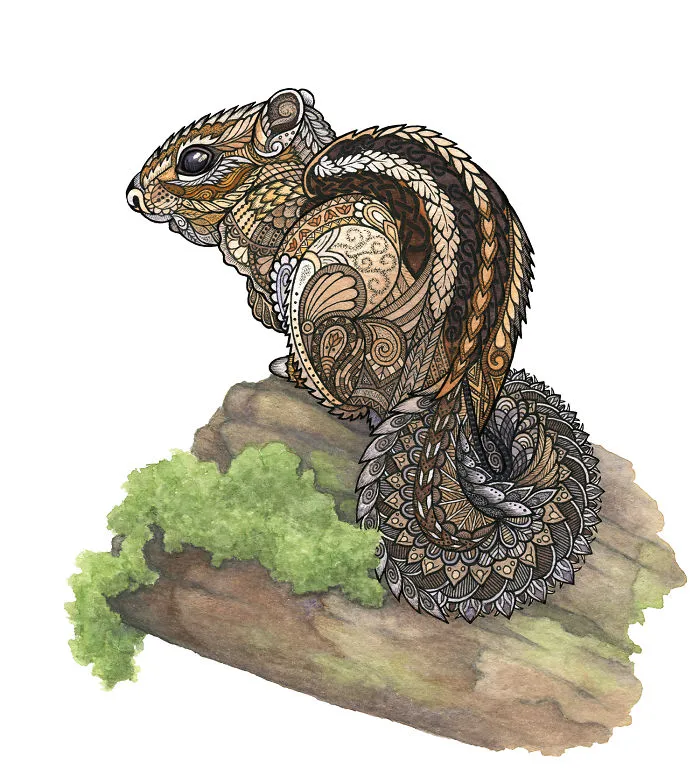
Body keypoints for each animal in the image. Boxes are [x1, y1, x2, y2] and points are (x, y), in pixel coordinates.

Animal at [127, 88, 602, 623]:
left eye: (195, 160)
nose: (132, 195)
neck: (273, 185)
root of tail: (442, 393)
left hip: (318, 296)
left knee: (344, 388)